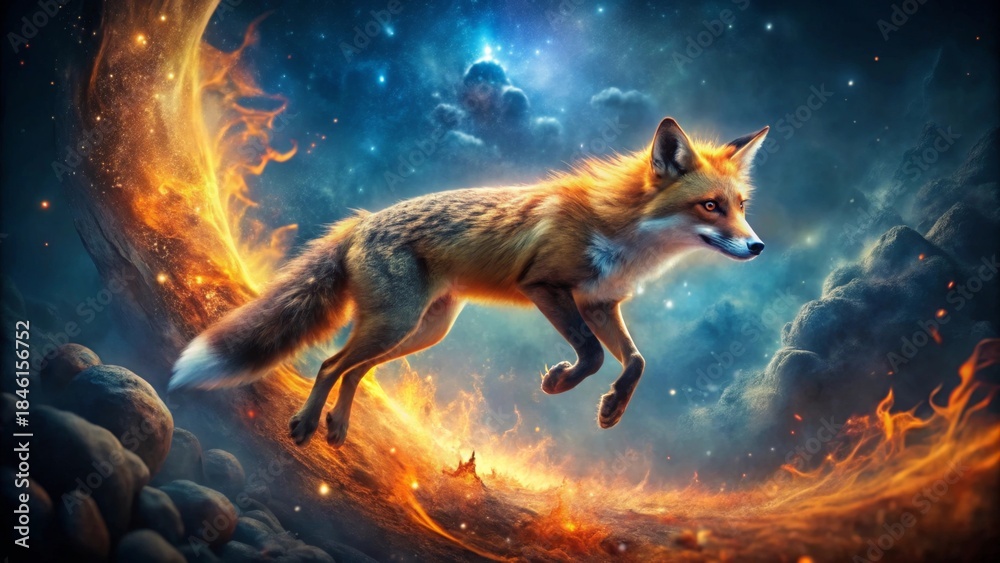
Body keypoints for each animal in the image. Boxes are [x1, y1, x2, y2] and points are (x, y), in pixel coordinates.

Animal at [169, 117, 769, 447]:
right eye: (709, 206)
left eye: (740, 206)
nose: (757, 246)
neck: (625, 231)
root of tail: (360, 220)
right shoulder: (545, 286)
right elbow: (594, 355)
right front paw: (560, 384)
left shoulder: (601, 304)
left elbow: (637, 362)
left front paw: (612, 409)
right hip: (395, 323)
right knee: (330, 364)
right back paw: (307, 424)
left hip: (421, 331)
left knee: (356, 370)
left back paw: (337, 428)